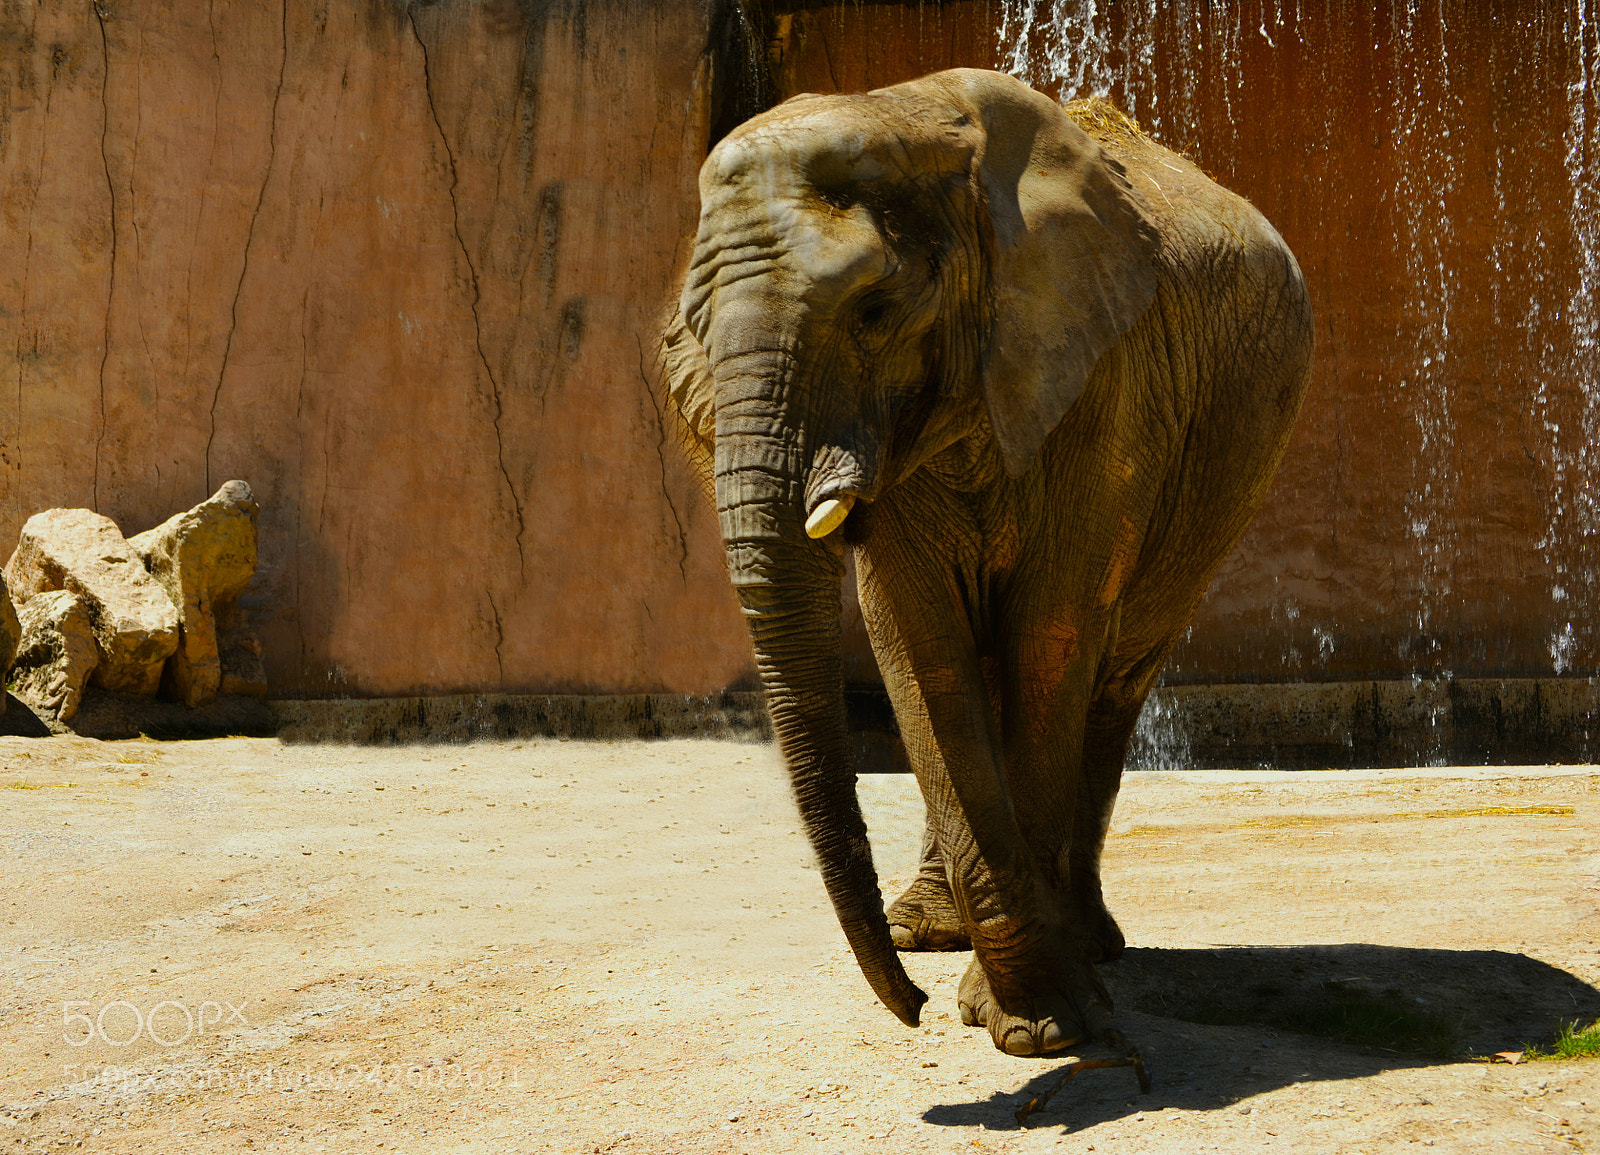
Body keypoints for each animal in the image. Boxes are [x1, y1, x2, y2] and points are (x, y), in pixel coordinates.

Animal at [660, 68, 1313, 1057]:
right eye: (696, 330)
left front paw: (1046, 1024)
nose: (912, 1008)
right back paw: (925, 928)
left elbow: (1053, 629)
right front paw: (1027, 1009)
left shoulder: (1106, 377)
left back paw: (1088, 941)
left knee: (1114, 675)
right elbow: (919, 640)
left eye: (874, 313)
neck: (906, 117)